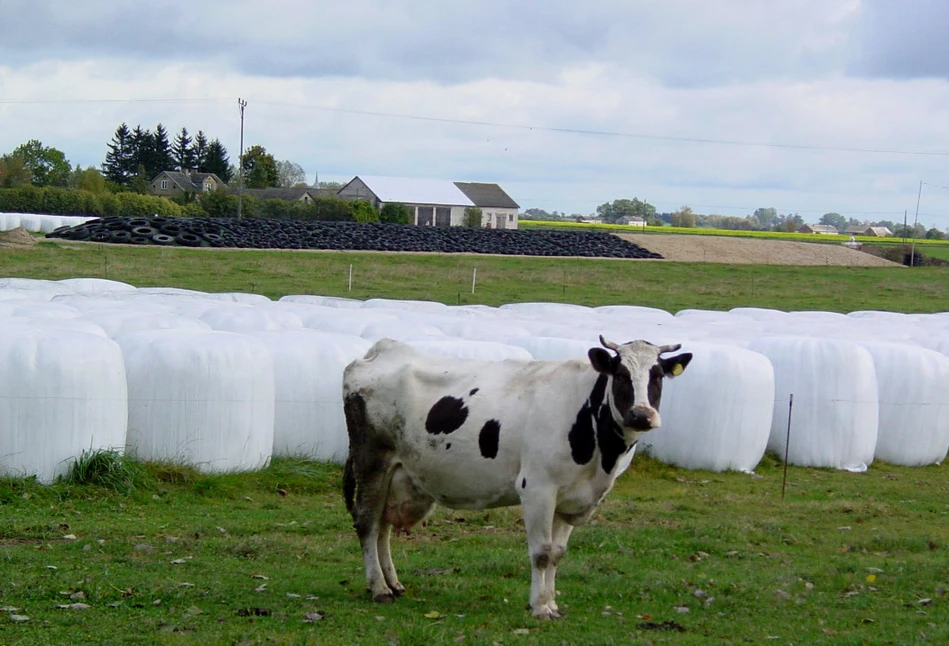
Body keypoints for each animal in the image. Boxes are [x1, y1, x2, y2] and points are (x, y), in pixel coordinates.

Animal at [340, 336, 688, 620]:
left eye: (658, 376)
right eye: (621, 375)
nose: (641, 415)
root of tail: (381, 349)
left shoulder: (571, 497)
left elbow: (557, 554)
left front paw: (552, 603)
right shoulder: (538, 489)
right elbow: (542, 552)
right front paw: (540, 607)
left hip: (397, 474)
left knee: (383, 527)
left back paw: (393, 583)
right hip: (372, 461)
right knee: (368, 523)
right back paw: (379, 588)